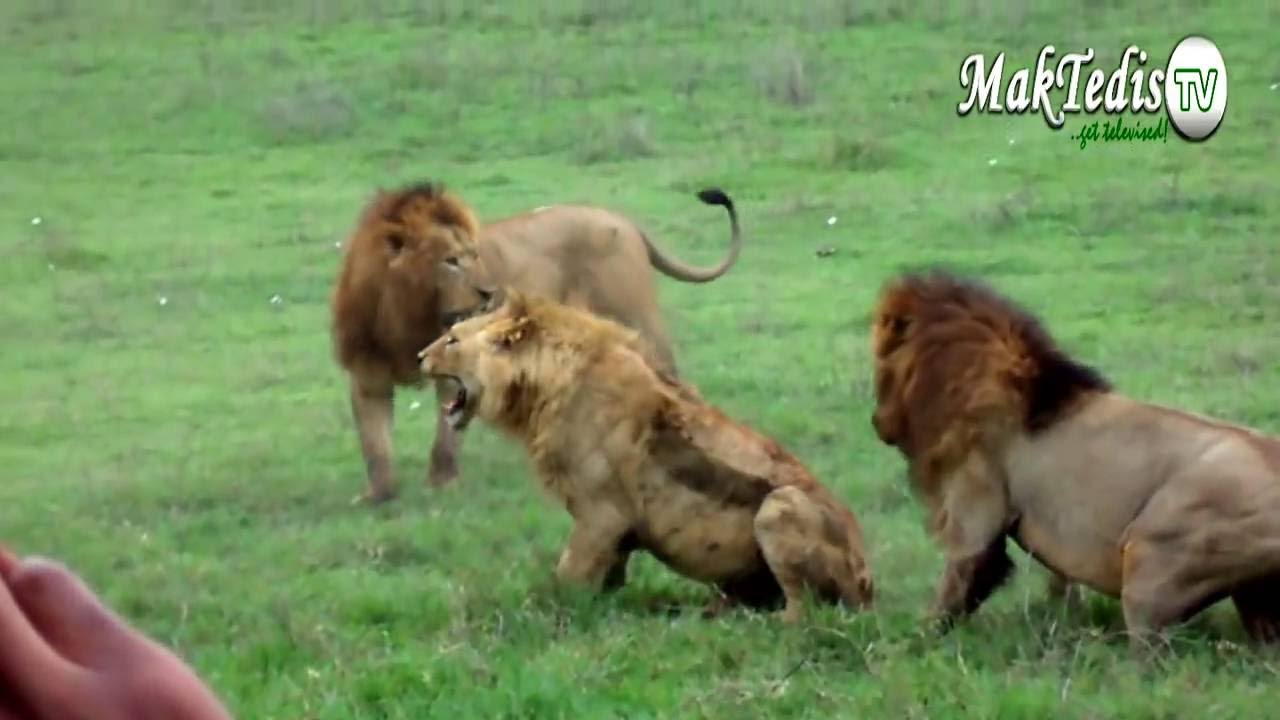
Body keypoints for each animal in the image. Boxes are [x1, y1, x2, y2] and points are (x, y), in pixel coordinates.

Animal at [330, 182, 741, 503]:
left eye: (473, 255)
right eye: (450, 261)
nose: (489, 293)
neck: (397, 310)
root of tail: (621, 219)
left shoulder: (452, 366)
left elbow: (445, 437)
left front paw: (441, 485)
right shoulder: (366, 375)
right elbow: (374, 445)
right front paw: (378, 497)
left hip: (634, 317)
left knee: (673, 381)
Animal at [417, 292, 874, 620]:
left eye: (453, 339)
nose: (420, 356)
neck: (541, 389)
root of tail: (869, 583)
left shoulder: (601, 515)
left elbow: (567, 578)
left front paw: (543, 613)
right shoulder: (615, 529)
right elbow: (607, 577)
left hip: (780, 504)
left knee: (805, 613)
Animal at [869, 270, 1280, 649]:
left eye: (880, 367)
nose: (876, 422)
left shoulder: (976, 515)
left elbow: (953, 590)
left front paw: (910, 645)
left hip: (1150, 557)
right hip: (1253, 598)